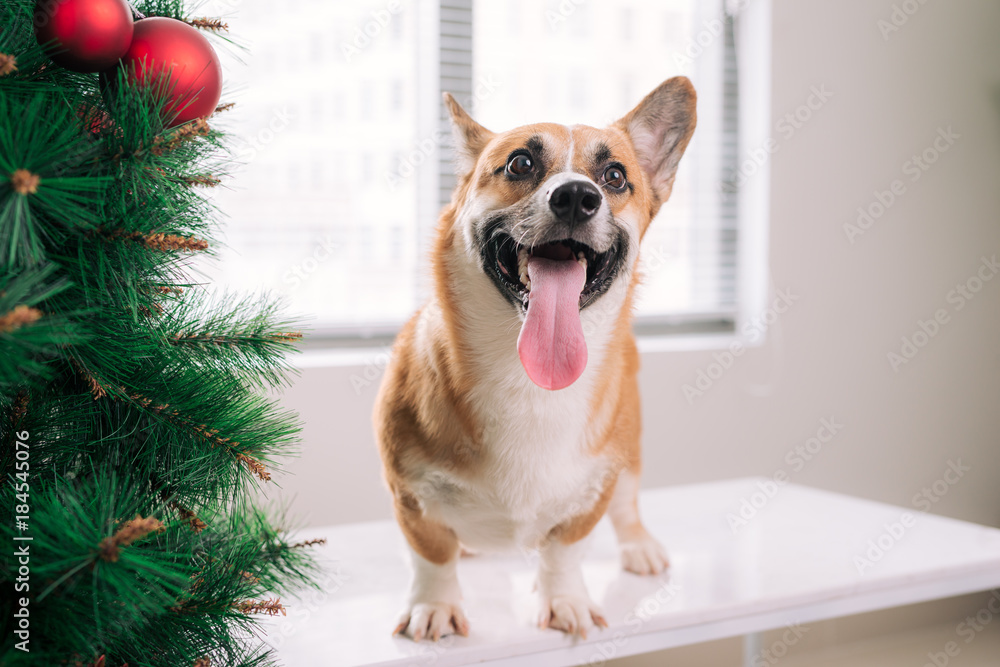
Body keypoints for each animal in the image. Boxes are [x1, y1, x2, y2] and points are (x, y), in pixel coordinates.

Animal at [374, 75, 696, 640]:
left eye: (615, 176)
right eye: (520, 163)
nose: (577, 197)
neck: (527, 378)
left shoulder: (593, 492)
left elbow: (564, 550)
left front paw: (564, 601)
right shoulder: (409, 494)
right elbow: (432, 555)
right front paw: (434, 607)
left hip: (630, 452)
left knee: (628, 504)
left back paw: (640, 546)